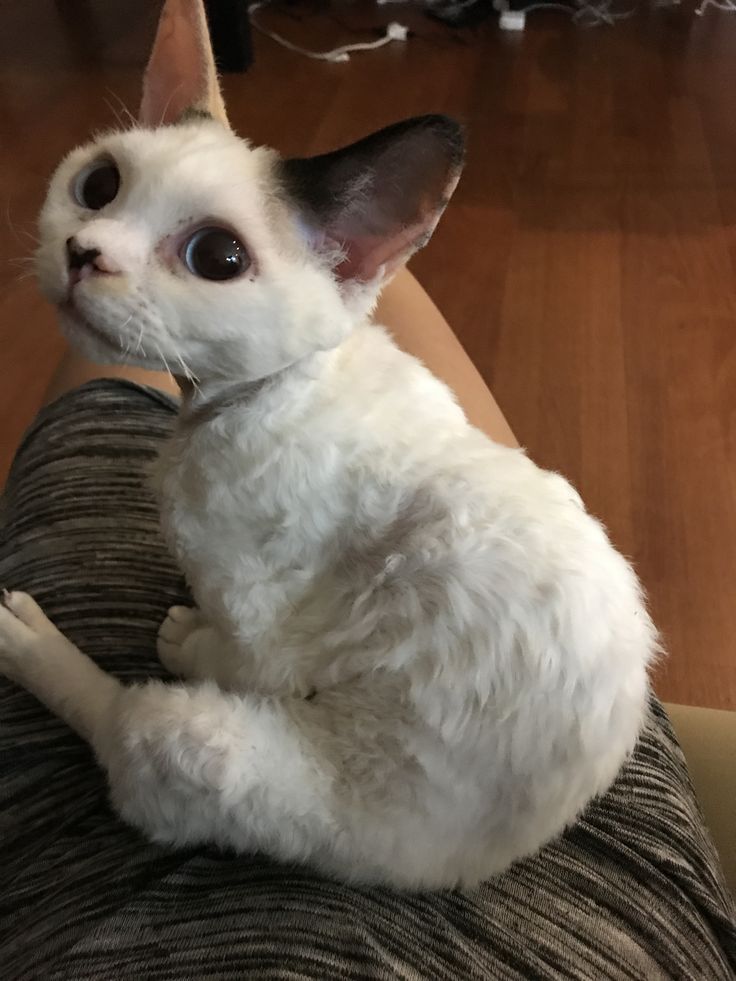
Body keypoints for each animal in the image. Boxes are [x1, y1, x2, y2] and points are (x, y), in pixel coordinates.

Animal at [0, 0, 656, 888]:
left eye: (217, 257)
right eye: (97, 185)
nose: (84, 252)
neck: (243, 398)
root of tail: (468, 866)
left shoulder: (262, 618)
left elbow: (239, 655)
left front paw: (191, 638)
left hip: (215, 749)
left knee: (127, 726)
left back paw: (32, 640)